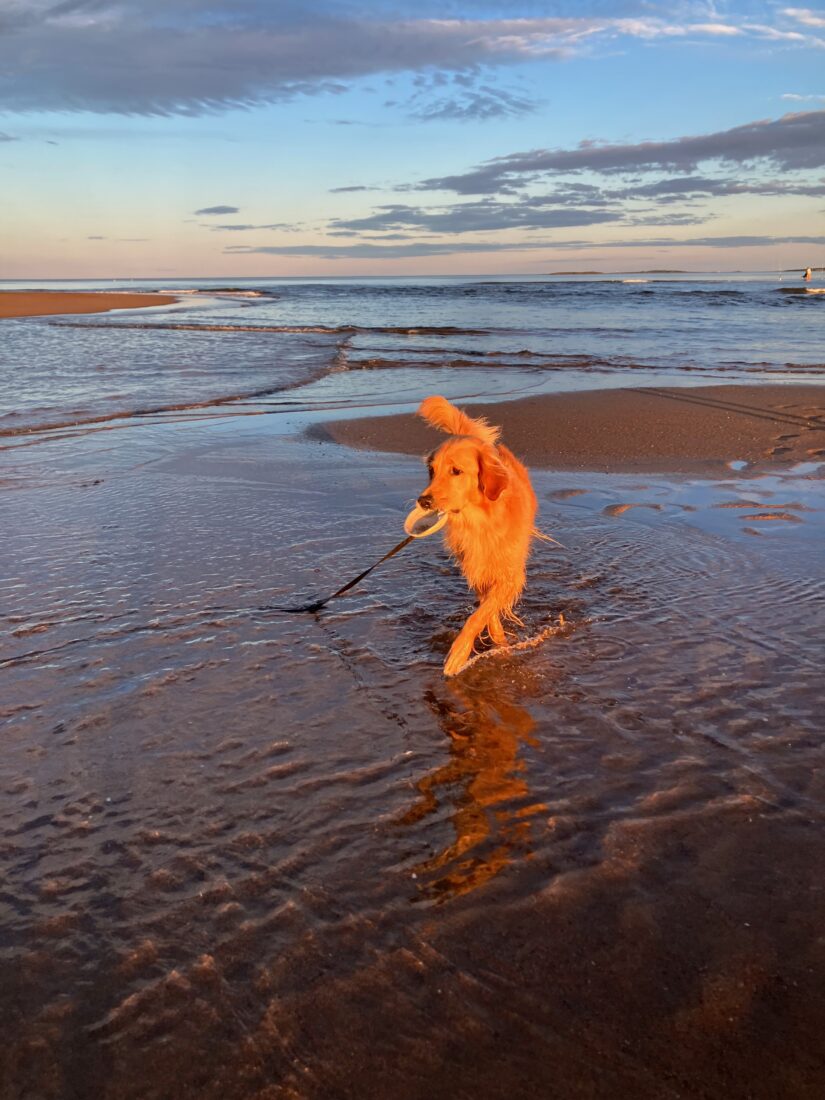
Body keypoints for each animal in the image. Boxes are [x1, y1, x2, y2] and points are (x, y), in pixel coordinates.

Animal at [415, 391, 539, 673]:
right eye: (431, 471)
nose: (423, 501)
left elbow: (480, 614)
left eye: (456, 471)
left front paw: (459, 653)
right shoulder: (477, 569)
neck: (480, 521)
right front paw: (498, 639)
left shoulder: (510, 574)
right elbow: (486, 611)